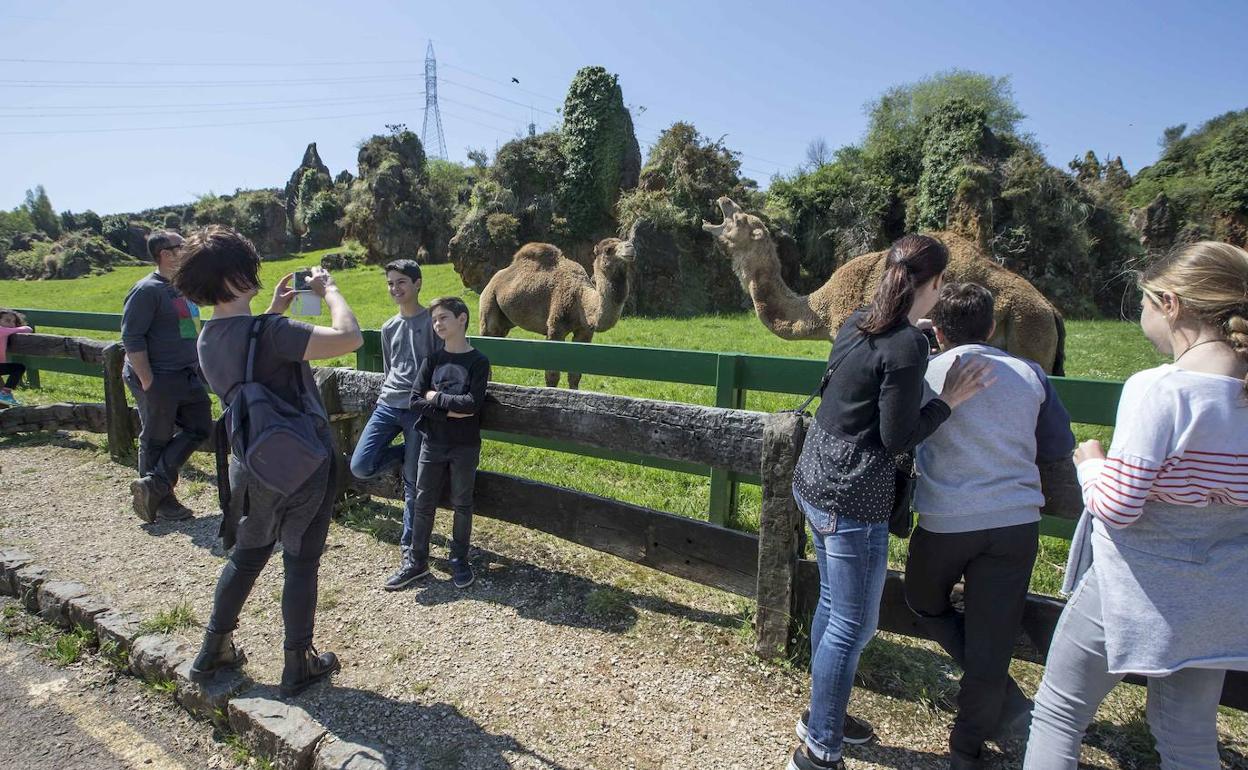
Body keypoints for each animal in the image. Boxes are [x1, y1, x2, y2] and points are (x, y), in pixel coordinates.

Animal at [476, 237, 633, 386]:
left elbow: (575, 376)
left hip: (505, 322)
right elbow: (552, 376)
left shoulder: (585, 333)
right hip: (489, 302)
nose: (630, 246)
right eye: (608, 250)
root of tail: (494, 279)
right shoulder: (555, 328)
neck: (581, 300)